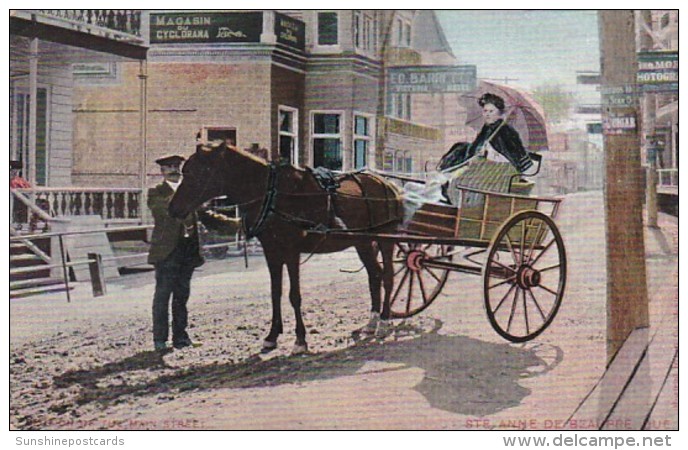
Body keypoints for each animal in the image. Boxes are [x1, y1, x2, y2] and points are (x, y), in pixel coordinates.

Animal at [168, 142, 404, 354]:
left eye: (199, 172)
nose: (173, 208)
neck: (272, 194)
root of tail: (389, 185)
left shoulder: (291, 251)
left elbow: (294, 295)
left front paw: (300, 340)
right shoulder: (271, 251)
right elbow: (276, 292)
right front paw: (272, 336)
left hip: (385, 239)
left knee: (388, 277)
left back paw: (384, 321)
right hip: (362, 241)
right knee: (375, 275)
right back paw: (372, 322)